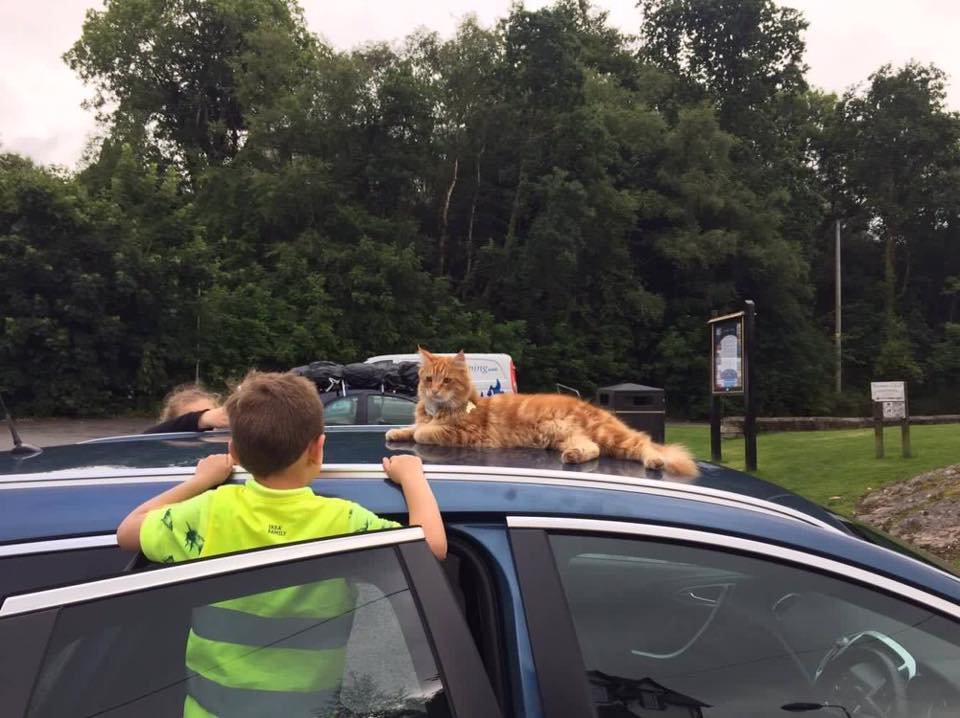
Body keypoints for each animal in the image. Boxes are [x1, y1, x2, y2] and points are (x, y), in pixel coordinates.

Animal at [384, 348, 696, 478]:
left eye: (446, 381)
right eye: (428, 380)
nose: (434, 391)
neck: (438, 409)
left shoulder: (462, 434)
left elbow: (424, 433)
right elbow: (411, 429)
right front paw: (396, 432)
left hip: (610, 435)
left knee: (643, 443)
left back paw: (655, 461)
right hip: (571, 438)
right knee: (592, 449)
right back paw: (573, 456)